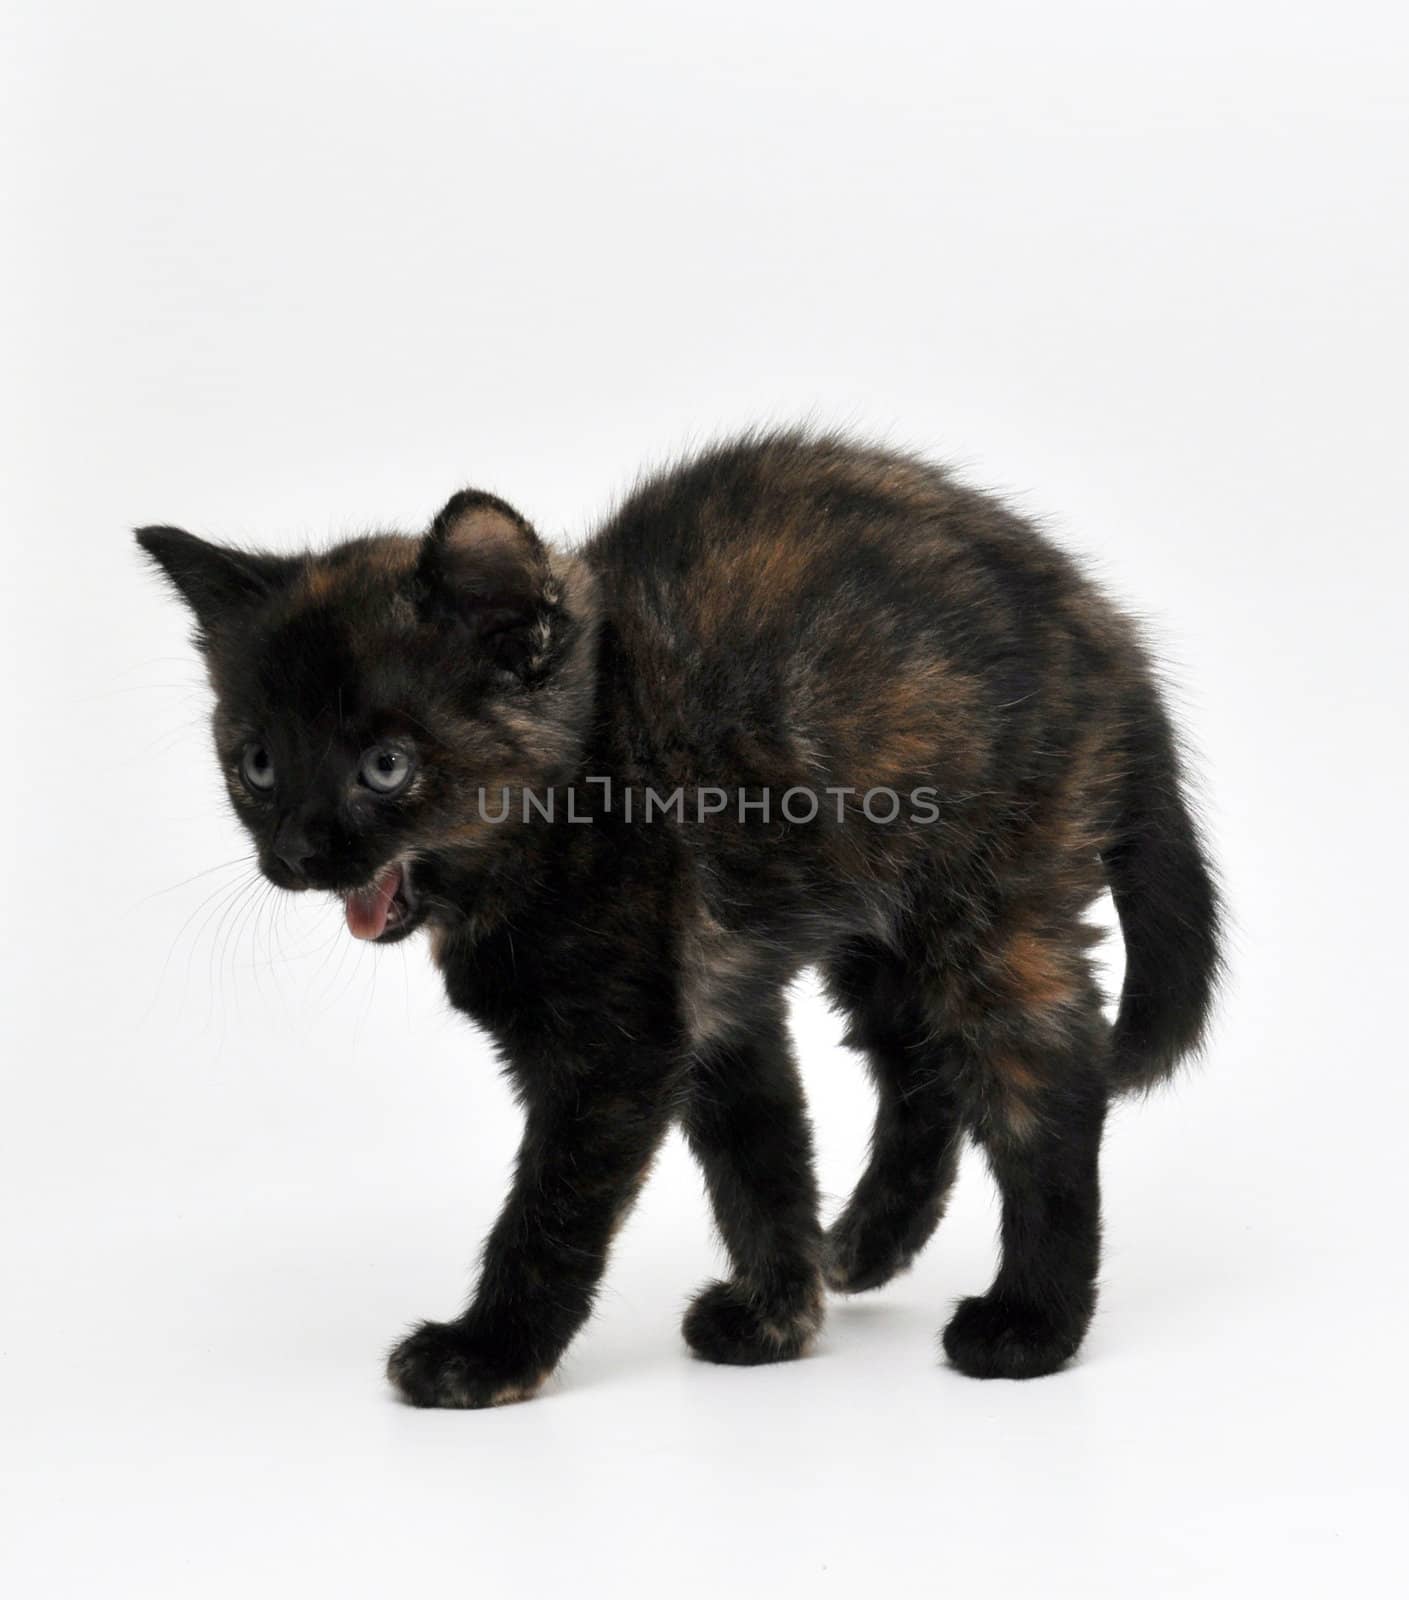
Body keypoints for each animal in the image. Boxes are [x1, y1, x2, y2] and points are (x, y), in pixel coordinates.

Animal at [139, 432, 1221, 1408]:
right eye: (257, 763)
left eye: (386, 766)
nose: (297, 851)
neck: (582, 772)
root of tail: (1101, 623)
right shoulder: (719, 1009)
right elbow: (760, 1155)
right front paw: (775, 1314)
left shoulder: (619, 1045)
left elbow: (553, 1207)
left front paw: (487, 1353)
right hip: (879, 926)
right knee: (917, 1068)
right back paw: (864, 1246)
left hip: (987, 899)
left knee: (1047, 1086)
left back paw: (1029, 1324)